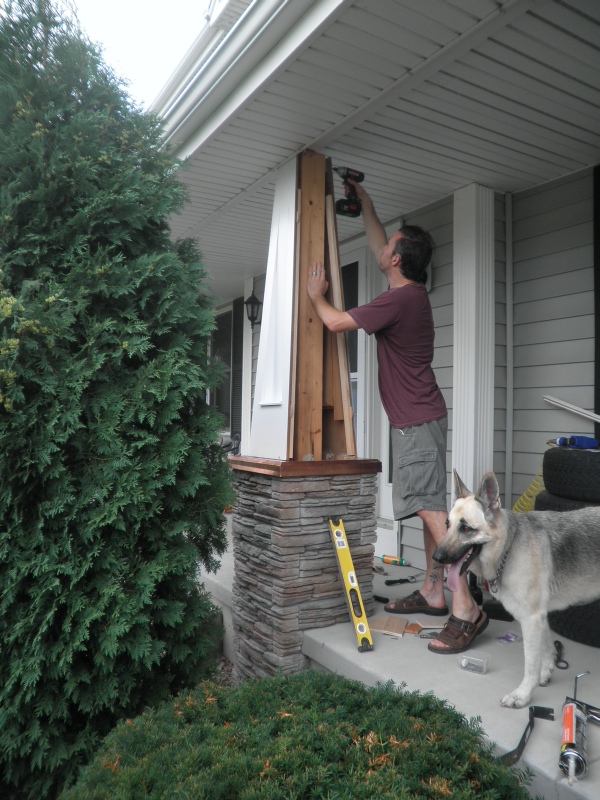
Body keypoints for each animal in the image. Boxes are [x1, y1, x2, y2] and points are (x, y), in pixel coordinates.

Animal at [434, 468, 600, 708]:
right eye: (447, 524)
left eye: (465, 528)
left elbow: (530, 663)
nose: (436, 558)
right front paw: (545, 672)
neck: (508, 547)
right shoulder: (540, 616)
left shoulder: (531, 618)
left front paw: (523, 694)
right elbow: (546, 648)